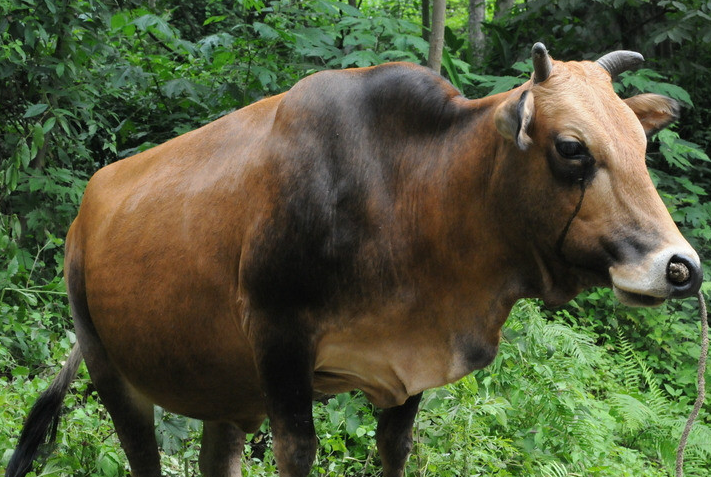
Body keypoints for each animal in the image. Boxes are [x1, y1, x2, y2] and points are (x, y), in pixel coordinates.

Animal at [5, 43, 704, 476]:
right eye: (571, 148)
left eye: (640, 142)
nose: (681, 267)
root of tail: (86, 212)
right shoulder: (281, 345)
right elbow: (299, 450)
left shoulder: (409, 368)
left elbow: (395, 448)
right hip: (112, 370)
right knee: (142, 452)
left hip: (223, 389)